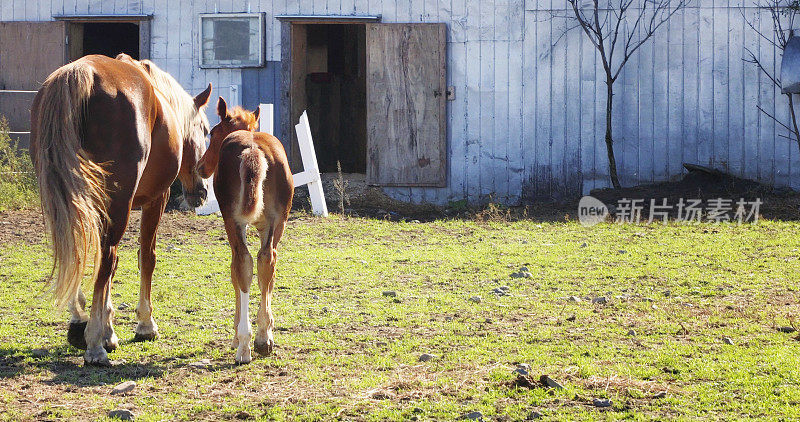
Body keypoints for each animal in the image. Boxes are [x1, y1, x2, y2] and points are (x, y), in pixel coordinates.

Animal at [197, 98, 294, 362]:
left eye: (213, 132)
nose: (201, 166)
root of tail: (253, 149)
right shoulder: (266, 228)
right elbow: (266, 279)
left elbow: (235, 273)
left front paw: (235, 336)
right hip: (277, 221)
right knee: (266, 260)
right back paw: (262, 339)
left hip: (233, 220)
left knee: (243, 262)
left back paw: (243, 346)